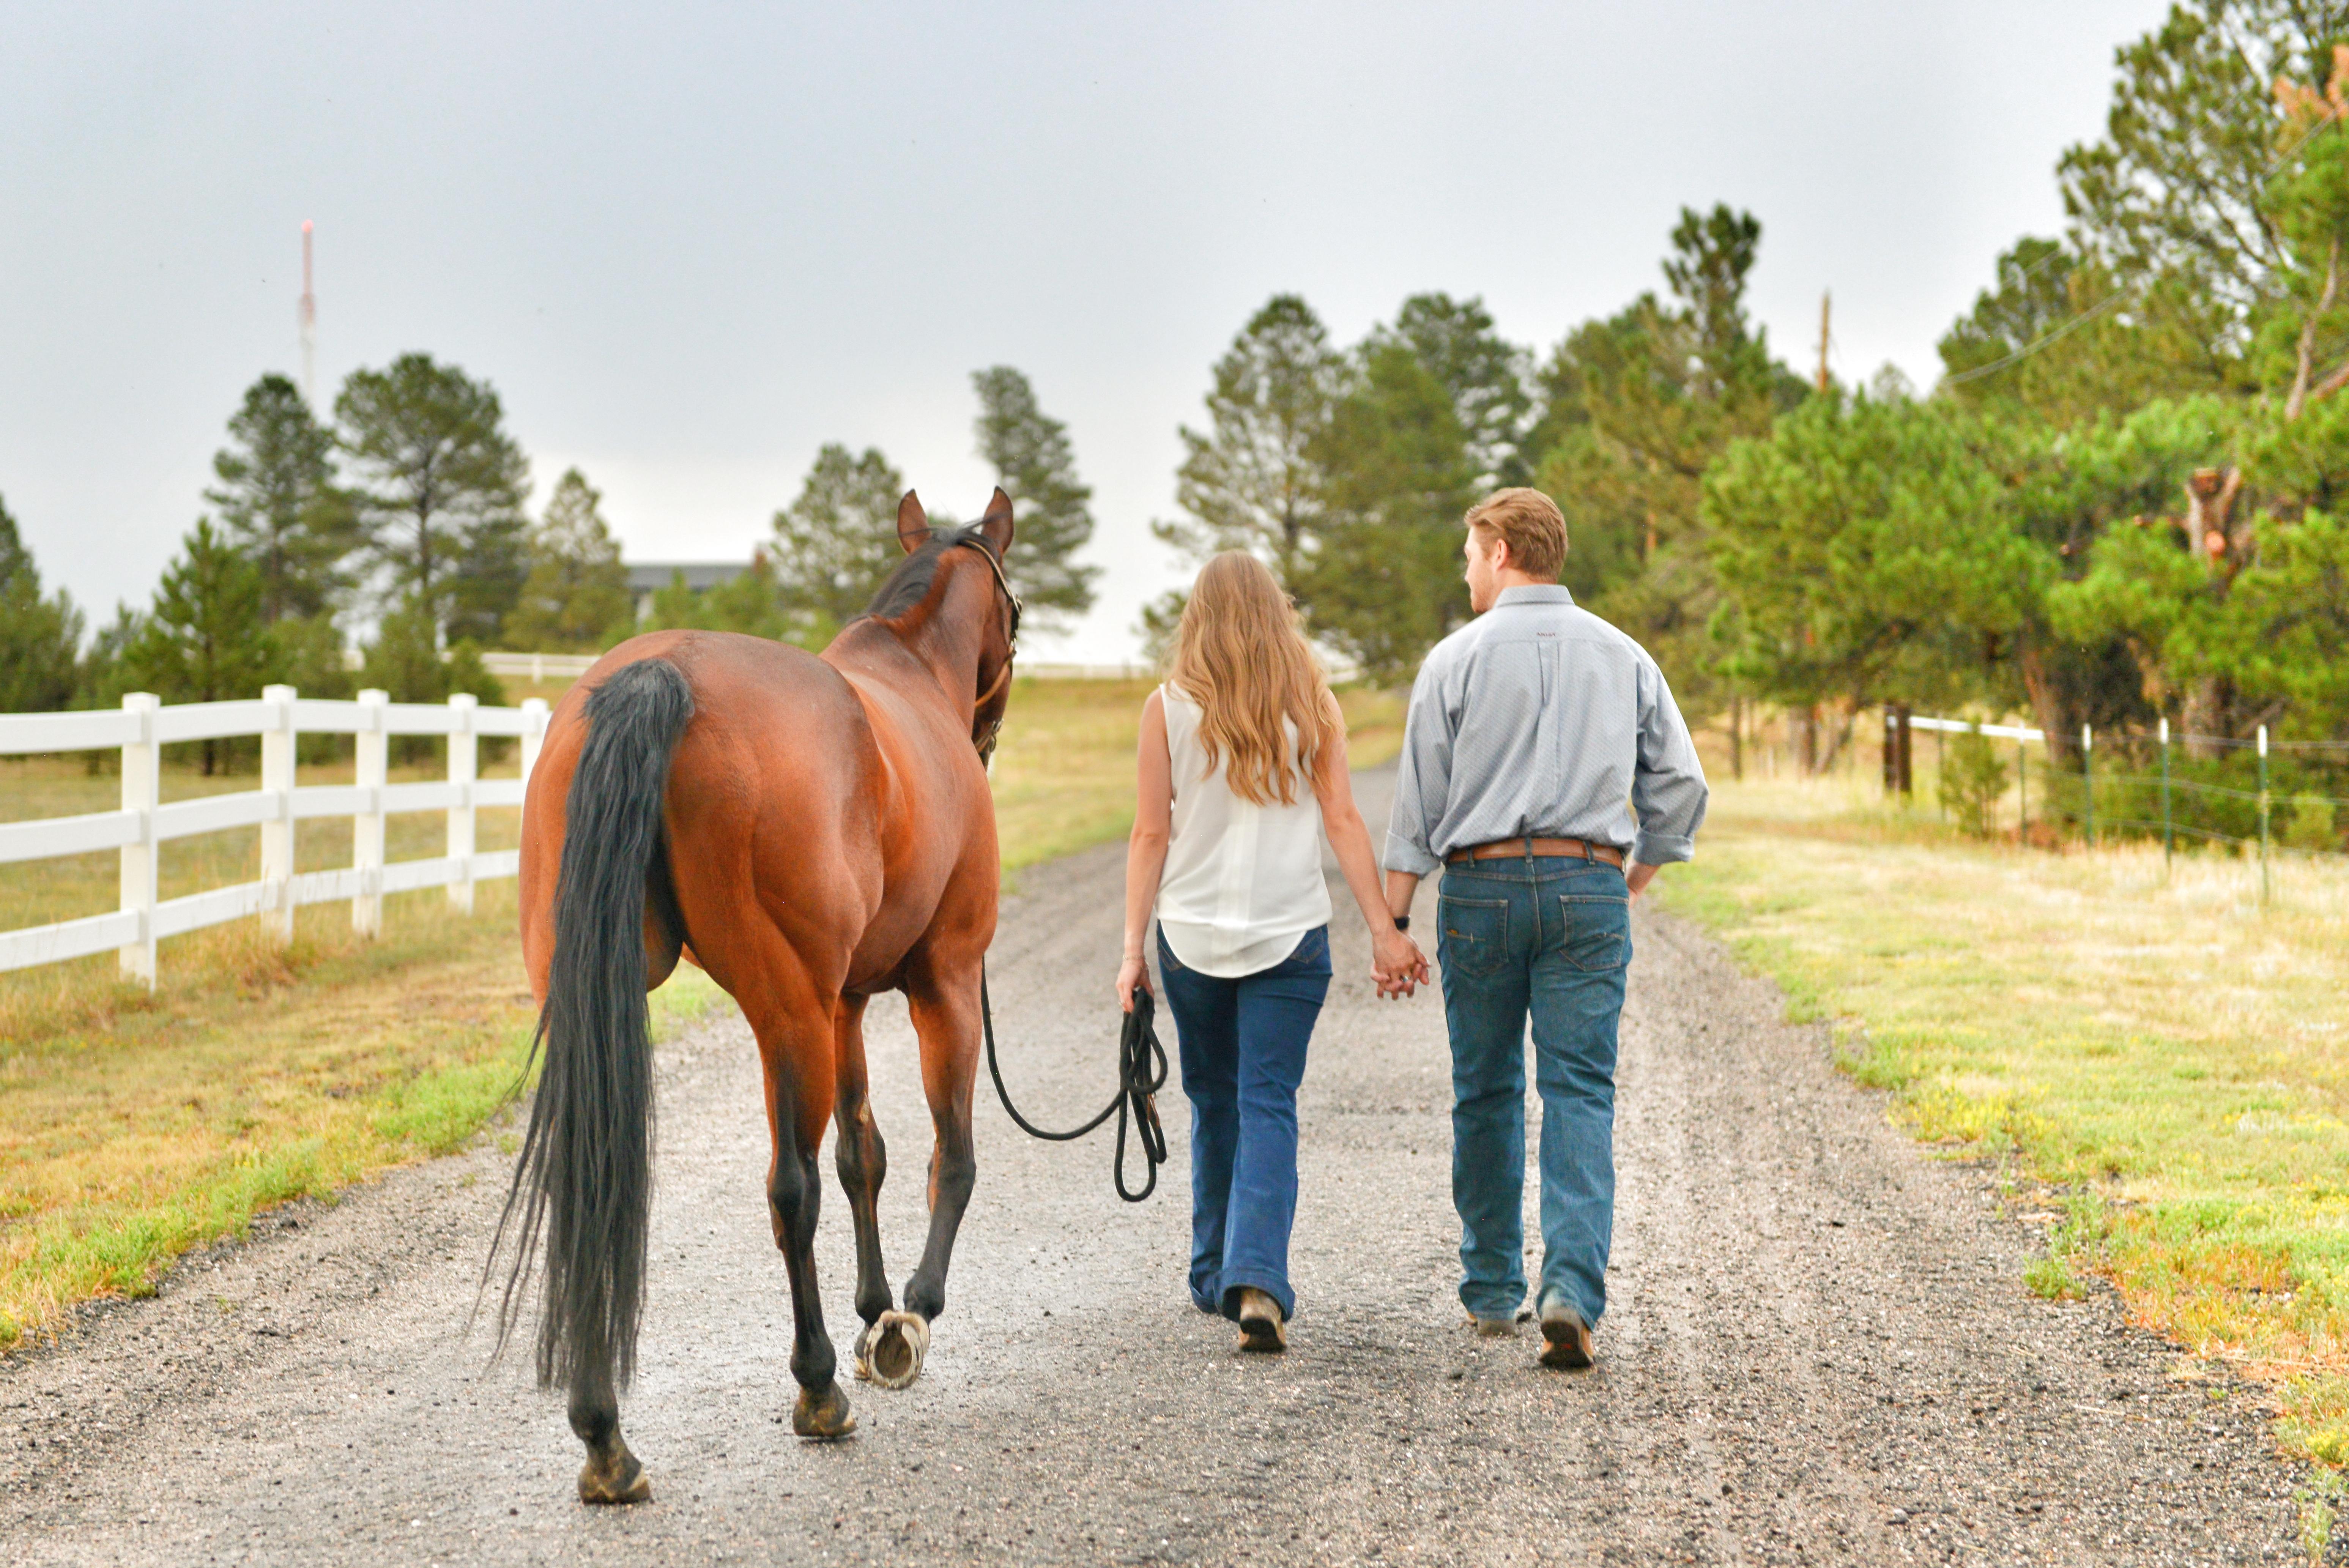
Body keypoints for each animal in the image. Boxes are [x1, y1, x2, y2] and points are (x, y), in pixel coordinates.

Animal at [495, 484, 1019, 1504]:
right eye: (1015, 620)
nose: (988, 736)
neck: (908, 679)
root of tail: (658, 674)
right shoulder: (943, 980)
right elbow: (950, 1156)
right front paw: (909, 1316)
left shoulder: (845, 999)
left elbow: (865, 1154)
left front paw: (874, 1310)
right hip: (786, 1009)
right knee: (791, 1188)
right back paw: (816, 1389)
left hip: (619, 999)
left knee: (600, 1175)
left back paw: (604, 1436)